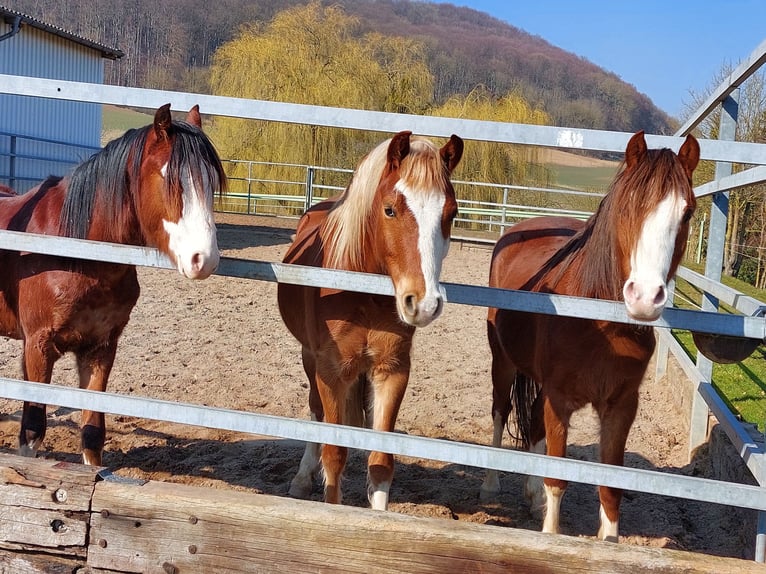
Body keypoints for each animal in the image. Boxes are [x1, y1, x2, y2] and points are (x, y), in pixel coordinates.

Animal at [0, 104, 226, 468]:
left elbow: (93, 433)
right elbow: (32, 432)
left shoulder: (101, 348)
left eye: (211, 180)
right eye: (168, 178)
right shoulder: (37, 347)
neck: (75, 254)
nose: (203, 259)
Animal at [280, 129, 464, 508]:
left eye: (451, 213)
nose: (423, 303)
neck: (359, 294)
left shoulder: (391, 371)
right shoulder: (331, 372)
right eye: (390, 209)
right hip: (309, 358)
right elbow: (333, 455)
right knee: (315, 411)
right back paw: (301, 479)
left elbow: (380, 461)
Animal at [486, 132, 704, 544]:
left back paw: (531, 496)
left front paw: (609, 541)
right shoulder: (560, 400)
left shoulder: (621, 406)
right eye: (629, 206)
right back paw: (490, 483)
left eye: (687, 214)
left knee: (532, 421)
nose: (645, 297)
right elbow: (558, 477)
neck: (600, 325)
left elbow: (610, 485)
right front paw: (550, 535)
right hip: (502, 362)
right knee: (500, 412)